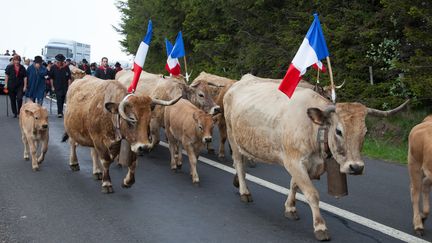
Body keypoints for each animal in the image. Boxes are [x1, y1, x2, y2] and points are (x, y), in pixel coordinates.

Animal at [224, 74, 410, 241]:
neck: (315, 130)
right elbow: (312, 194)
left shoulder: (307, 165)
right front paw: (320, 227)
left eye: (365, 132)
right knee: (238, 162)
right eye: (339, 131)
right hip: (231, 135)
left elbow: (294, 185)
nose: (356, 167)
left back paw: (237, 181)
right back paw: (244, 191)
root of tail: (239, 82)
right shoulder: (293, 161)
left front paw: (290, 208)